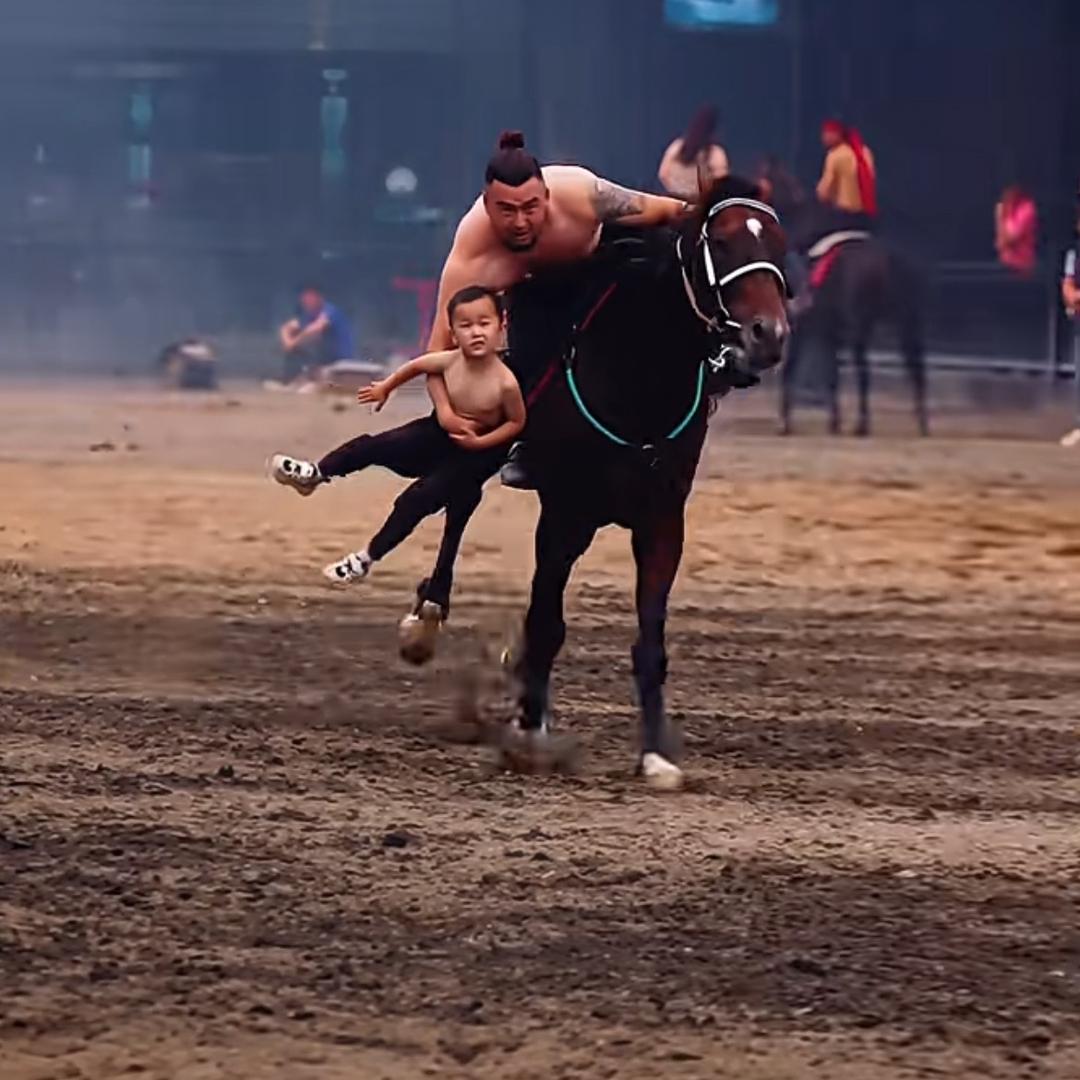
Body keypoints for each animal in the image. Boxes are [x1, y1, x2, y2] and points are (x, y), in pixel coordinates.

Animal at [779, 205, 928, 437]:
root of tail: (887, 259)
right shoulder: (827, 335)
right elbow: (831, 376)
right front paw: (833, 422)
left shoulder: (806, 332)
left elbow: (796, 370)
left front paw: (788, 422)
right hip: (906, 323)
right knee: (915, 368)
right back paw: (921, 423)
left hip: (861, 327)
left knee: (864, 372)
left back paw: (862, 424)